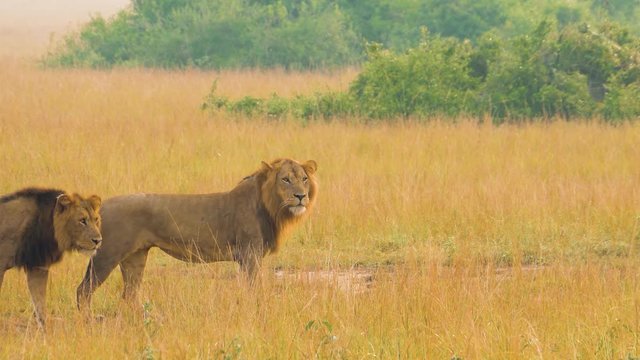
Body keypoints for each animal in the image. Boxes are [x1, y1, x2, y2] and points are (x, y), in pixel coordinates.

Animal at [0, 188, 102, 326]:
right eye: (82, 220)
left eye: (96, 220)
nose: (98, 240)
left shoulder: (38, 266)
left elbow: (39, 300)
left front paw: (45, 326)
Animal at [77, 159, 318, 310]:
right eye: (285, 179)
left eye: (304, 179)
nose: (300, 196)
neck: (273, 208)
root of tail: (101, 208)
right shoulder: (251, 254)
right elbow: (252, 289)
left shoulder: (247, 257)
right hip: (106, 255)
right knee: (83, 291)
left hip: (135, 257)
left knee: (129, 295)